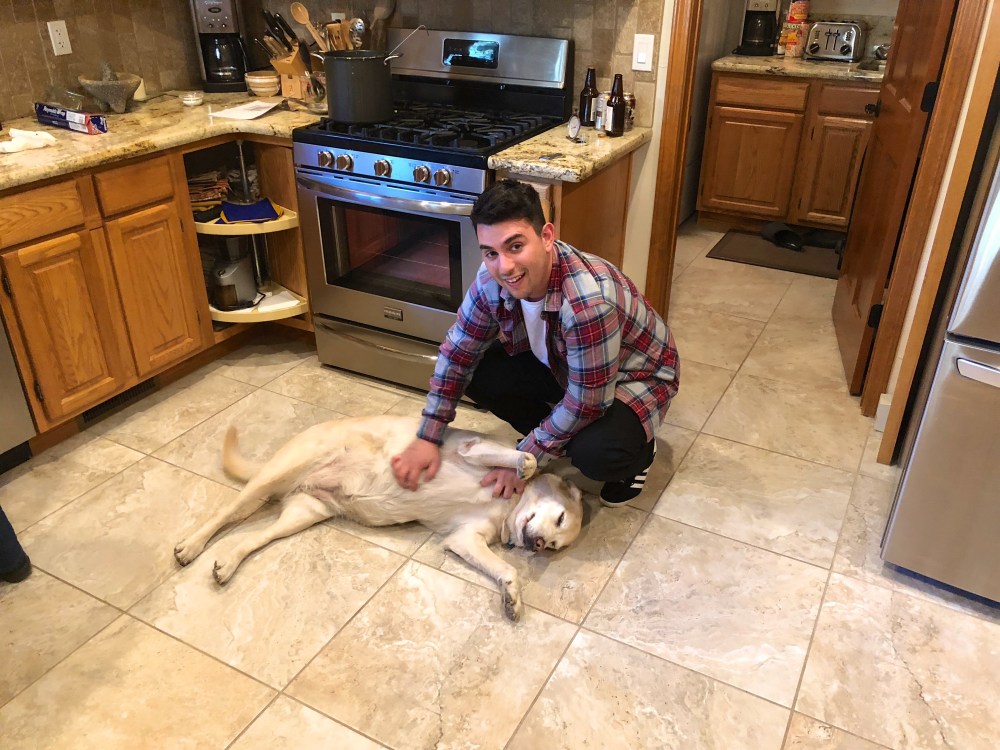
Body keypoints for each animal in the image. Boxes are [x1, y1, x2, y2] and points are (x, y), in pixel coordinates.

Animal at [173, 415, 584, 621]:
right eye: (561, 518)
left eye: (554, 545)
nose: (538, 544)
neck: (506, 508)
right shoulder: (473, 451)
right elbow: (526, 461)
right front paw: (523, 464)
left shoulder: (464, 538)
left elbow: (505, 569)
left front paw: (512, 597)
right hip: (274, 477)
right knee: (225, 514)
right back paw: (190, 546)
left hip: (301, 514)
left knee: (252, 539)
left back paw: (226, 563)